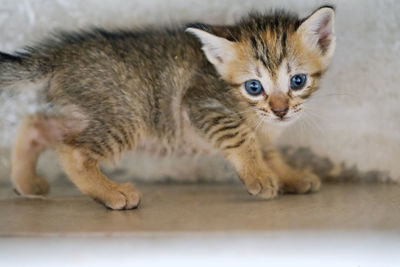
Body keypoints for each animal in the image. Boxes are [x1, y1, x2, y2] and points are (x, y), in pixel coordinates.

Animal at [1, 5, 336, 209]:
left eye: (297, 81)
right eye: (254, 87)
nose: (281, 110)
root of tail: (60, 55)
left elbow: (268, 150)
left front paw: (290, 176)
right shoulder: (201, 102)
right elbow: (243, 138)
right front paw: (259, 177)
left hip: (91, 111)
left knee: (37, 124)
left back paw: (26, 182)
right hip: (125, 114)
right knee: (73, 151)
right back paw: (112, 193)